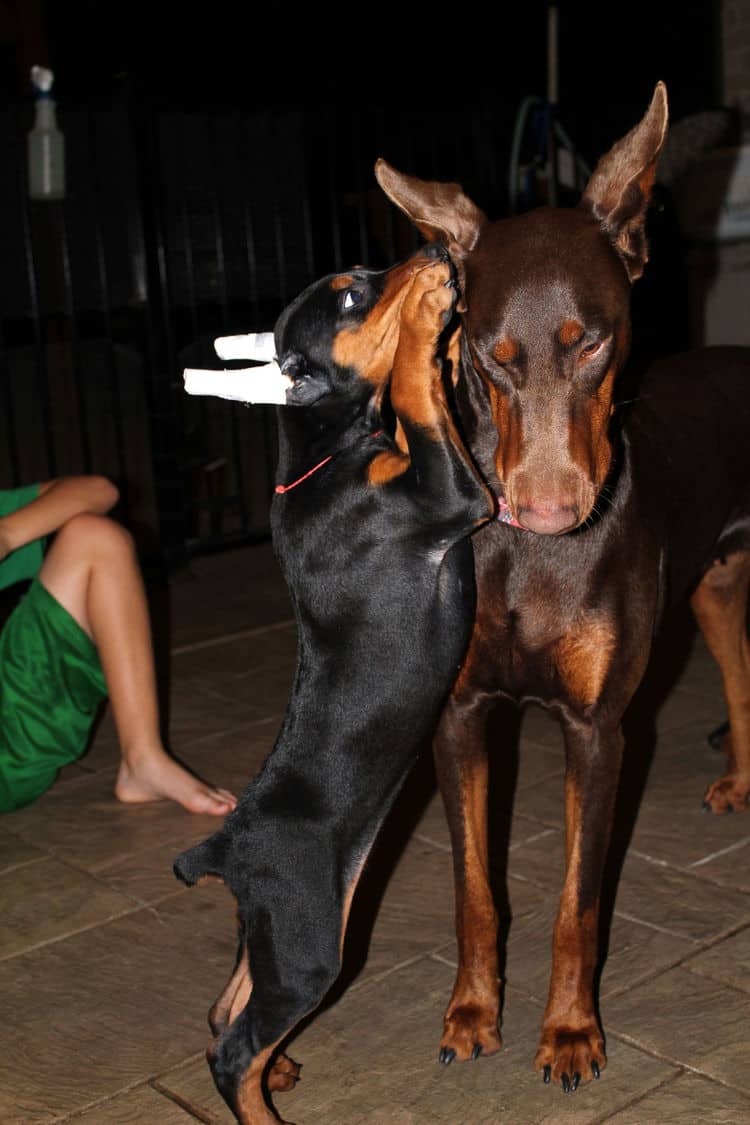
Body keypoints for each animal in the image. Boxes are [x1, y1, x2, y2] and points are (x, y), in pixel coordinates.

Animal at [174, 248, 494, 1125]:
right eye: (353, 296)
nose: (432, 254)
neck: (327, 451)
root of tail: (229, 842)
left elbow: (433, 404)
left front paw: (440, 324)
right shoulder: (453, 495)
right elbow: (418, 394)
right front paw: (427, 317)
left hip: (287, 925)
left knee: (226, 1008)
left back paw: (279, 1070)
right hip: (312, 941)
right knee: (231, 1048)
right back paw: (262, 1105)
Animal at [377, 83, 750, 1093]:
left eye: (594, 346)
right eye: (489, 357)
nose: (547, 514)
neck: (526, 561)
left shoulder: (598, 728)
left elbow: (579, 904)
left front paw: (572, 1032)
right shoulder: (460, 712)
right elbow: (474, 888)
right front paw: (472, 1013)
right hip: (713, 590)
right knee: (742, 680)